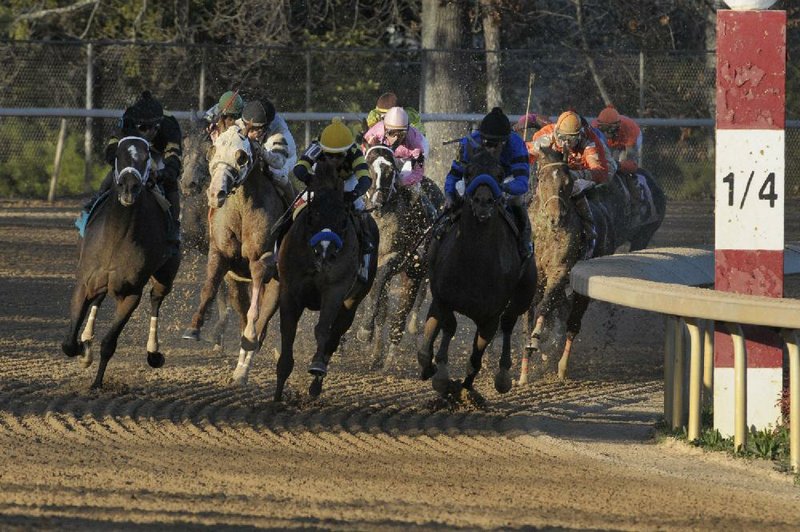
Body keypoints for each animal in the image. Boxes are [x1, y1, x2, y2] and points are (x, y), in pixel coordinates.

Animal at [62, 135, 181, 388]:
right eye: (119, 155)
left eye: (146, 157)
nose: (129, 187)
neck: (117, 236)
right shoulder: (84, 282)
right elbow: (69, 343)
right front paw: (83, 350)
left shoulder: (130, 293)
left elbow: (109, 343)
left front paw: (97, 383)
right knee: (97, 298)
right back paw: (87, 339)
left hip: (166, 275)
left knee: (156, 299)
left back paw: (154, 353)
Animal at [181, 127, 284, 384]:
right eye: (213, 150)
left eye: (241, 156)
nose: (216, 193)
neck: (242, 210)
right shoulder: (219, 255)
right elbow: (210, 288)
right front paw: (195, 328)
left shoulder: (261, 262)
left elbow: (255, 314)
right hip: (239, 283)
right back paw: (240, 368)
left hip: (277, 285)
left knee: (262, 318)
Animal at [274, 160, 380, 402]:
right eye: (313, 214)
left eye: (342, 218)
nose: (325, 251)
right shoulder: (290, 291)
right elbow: (288, 330)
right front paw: (278, 389)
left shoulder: (335, 290)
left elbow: (323, 329)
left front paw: (316, 366)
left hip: (352, 302)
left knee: (334, 335)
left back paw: (316, 383)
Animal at [358, 143, 444, 372]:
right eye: (368, 166)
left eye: (392, 171)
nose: (378, 201)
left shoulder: (397, 257)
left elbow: (380, 284)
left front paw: (365, 331)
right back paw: (377, 355)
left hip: (415, 272)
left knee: (402, 314)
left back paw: (390, 358)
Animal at [416, 148, 536, 402]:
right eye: (469, 171)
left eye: (499, 173)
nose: (483, 202)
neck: (475, 263)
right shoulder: (443, 297)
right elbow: (448, 325)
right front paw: (440, 374)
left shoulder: (490, 316)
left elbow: (476, 355)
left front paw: (465, 386)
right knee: (434, 321)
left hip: (523, 295)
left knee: (509, 323)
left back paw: (502, 376)